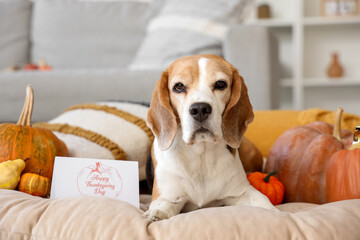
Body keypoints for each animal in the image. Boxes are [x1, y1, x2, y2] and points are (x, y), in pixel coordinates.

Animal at [143, 54, 276, 221]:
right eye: (178, 87)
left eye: (220, 84)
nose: (200, 109)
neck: (201, 154)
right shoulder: (167, 197)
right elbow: (162, 206)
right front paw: (156, 214)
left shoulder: (241, 192)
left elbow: (261, 199)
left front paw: (277, 213)